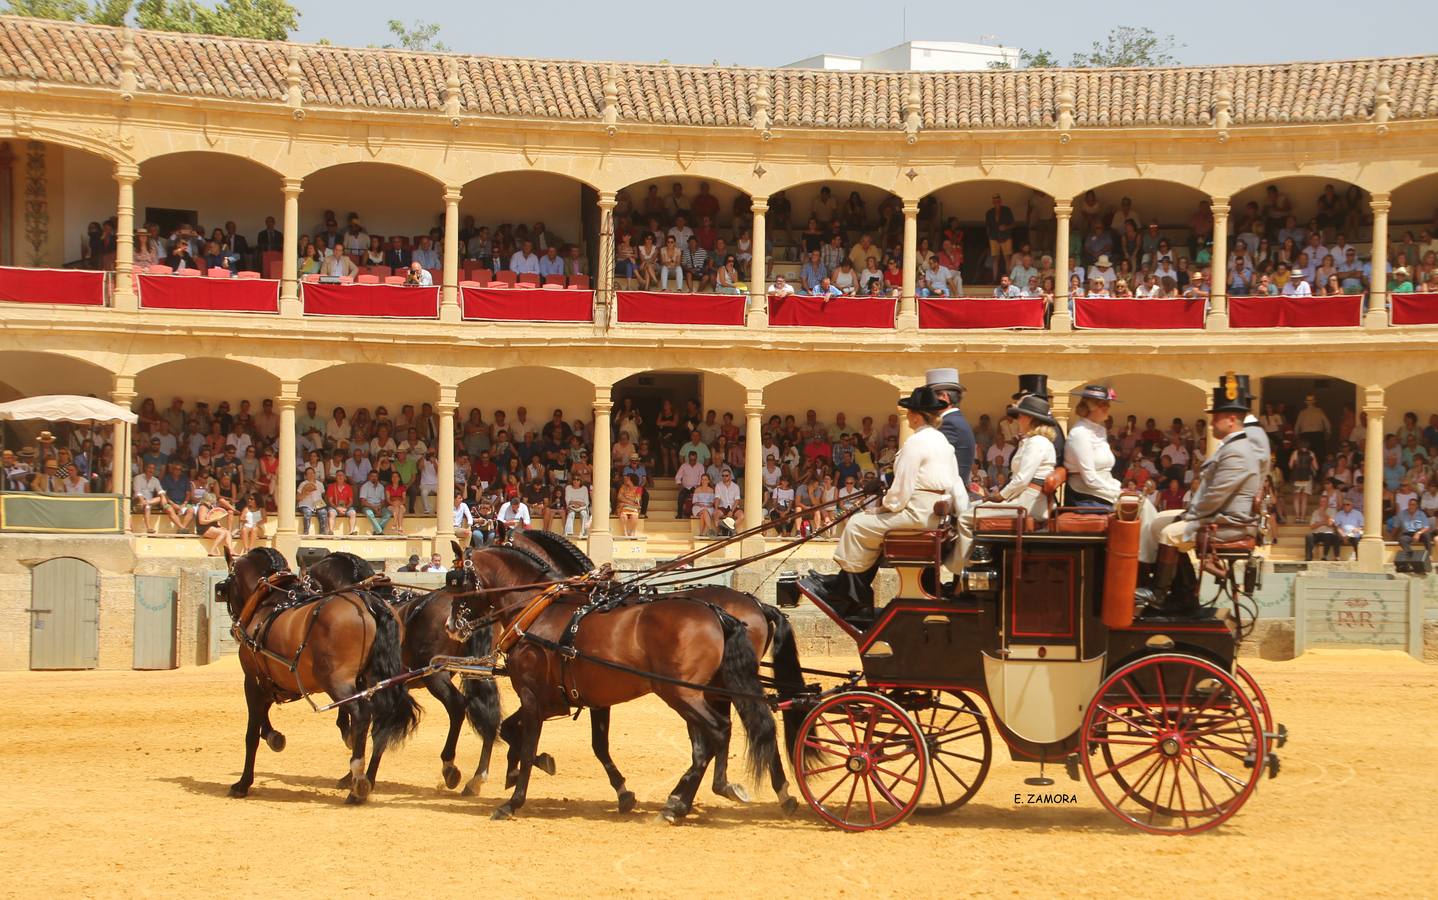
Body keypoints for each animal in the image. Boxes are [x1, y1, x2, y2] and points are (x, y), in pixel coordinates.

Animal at [215, 543, 419, 805]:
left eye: (228, 583)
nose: (233, 629)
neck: (269, 602)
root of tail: (371, 604)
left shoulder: (253, 681)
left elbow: (252, 733)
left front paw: (243, 783)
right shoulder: (272, 682)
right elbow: (263, 719)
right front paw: (274, 737)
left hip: (337, 681)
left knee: (362, 715)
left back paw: (357, 781)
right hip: (377, 680)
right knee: (381, 723)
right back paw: (365, 780)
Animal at [448, 540, 799, 822]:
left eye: (455, 579)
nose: (451, 625)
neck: (541, 612)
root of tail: (722, 613)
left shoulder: (534, 697)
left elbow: (526, 740)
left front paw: (513, 799)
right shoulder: (578, 699)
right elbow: (588, 744)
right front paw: (621, 793)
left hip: (683, 693)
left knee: (717, 733)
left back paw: (692, 798)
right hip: (713, 689)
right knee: (751, 728)